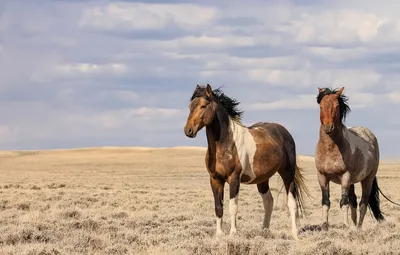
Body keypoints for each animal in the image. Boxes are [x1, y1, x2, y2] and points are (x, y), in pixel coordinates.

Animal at [184, 84, 310, 240]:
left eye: (203, 106)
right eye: (190, 106)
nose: (188, 130)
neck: (226, 143)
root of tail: (284, 132)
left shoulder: (234, 179)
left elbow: (233, 207)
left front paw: (233, 233)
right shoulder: (215, 179)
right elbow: (218, 207)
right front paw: (219, 234)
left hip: (287, 173)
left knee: (291, 202)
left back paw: (294, 233)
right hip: (263, 179)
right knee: (268, 202)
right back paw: (264, 231)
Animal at [316, 86, 384, 228]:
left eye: (336, 106)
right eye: (321, 106)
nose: (328, 127)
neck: (330, 149)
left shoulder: (345, 177)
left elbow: (343, 202)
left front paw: (345, 225)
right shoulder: (322, 177)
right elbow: (326, 201)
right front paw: (325, 225)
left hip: (367, 179)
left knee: (363, 203)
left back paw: (358, 227)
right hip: (352, 182)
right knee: (354, 201)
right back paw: (354, 225)